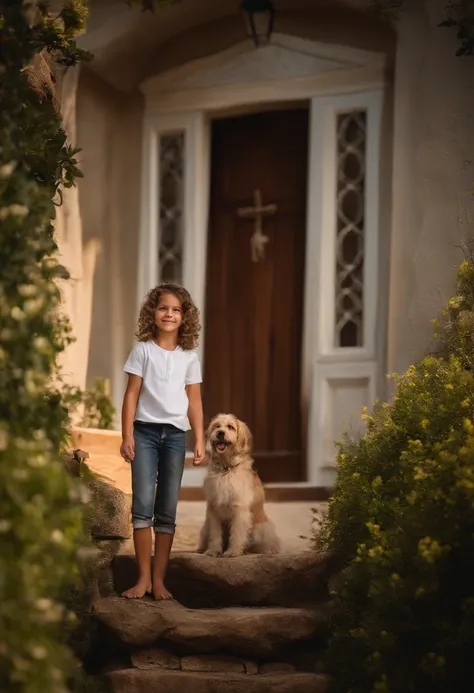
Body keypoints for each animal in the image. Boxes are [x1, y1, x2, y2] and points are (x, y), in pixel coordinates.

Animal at [197, 410, 282, 556]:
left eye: (230, 427)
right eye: (216, 426)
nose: (220, 433)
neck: (226, 470)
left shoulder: (239, 509)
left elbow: (237, 533)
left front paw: (233, 551)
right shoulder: (213, 510)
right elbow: (215, 534)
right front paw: (213, 550)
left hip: (262, 528)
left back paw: (267, 550)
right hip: (205, 526)